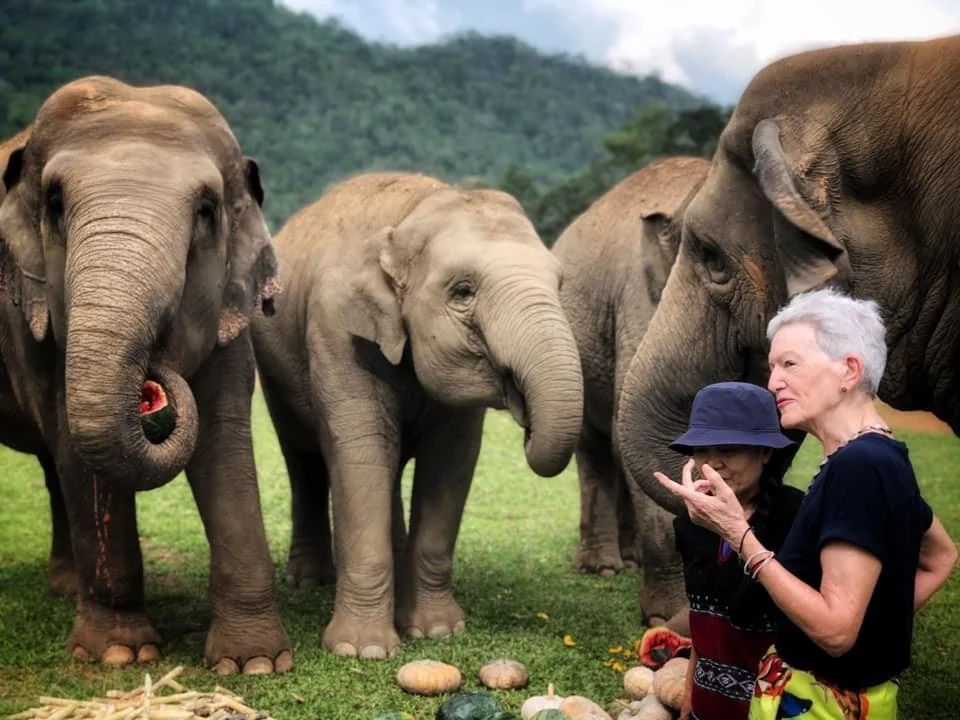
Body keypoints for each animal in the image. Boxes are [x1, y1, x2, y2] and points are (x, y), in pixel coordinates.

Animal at [0, 76, 291, 674]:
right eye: (55, 203)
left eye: (205, 210)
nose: (154, 384)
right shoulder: (26, 309)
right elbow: (74, 440)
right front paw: (118, 653)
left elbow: (223, 437)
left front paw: (253, 664)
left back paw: (67, 588)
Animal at [250, 171, 584, 659]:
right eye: (462, 292)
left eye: (560, 285)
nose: (526, 417)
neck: (411, 212)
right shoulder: (335, 329)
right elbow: (361, 454)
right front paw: (363, 651)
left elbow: (450, 462)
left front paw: (436, 632)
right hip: (275, 369)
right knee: (305, 461)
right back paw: (311, 581)